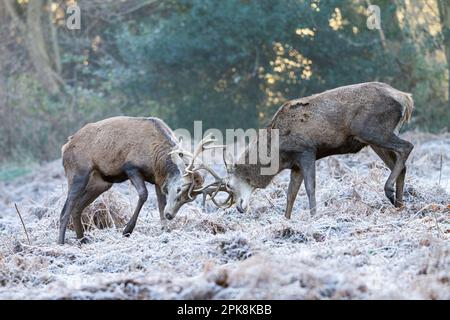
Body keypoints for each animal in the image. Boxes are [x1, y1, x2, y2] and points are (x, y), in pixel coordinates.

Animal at [225, 81, 414, 219]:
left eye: (228, 185)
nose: (239, 208)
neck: (278, 155)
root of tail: (405, 98)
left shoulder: (306, 150)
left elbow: (310, 188)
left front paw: (314, 216)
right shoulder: (295, 165)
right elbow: (291, 194)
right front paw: (286, 219)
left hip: (372, 131)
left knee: (407, 146)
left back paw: (389, 191)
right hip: (374, 139)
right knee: (401, 164)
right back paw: (399, 204)